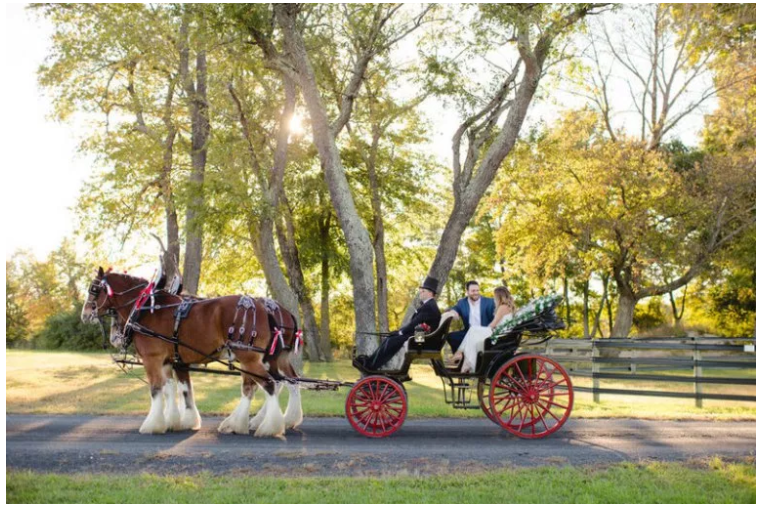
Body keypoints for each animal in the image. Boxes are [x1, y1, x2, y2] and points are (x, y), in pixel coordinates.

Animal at [79, 268, 300, 438]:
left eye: (94, 289)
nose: (85, 314)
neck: (147, 308)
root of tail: (265, 308)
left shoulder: (153, 359)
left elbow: (156, 389)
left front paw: (153, 424)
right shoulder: (171, 361)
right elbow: (176, 389)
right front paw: (177, 421)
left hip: (248, 357)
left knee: (268, 384)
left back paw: (268, 427)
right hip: (262, 359)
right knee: (277, 382)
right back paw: (244, 423)